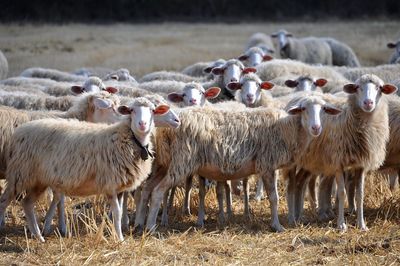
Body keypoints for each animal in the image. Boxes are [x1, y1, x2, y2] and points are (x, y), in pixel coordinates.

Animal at [0, 98, 170, 243]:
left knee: (27, 203)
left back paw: (38, 236)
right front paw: (120, 240)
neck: (130, 139)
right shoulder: (110, 184)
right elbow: (116, 213)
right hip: (20, 174)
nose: (142, 124)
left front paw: (119, 235)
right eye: (132, 110)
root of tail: (19, 132)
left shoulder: (120, 187)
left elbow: (121, 212)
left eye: (153, 111)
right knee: (4, 201)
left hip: (37, 179)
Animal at [136, 93, 342, 233]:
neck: (288, 128)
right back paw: (151, 227)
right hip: (181, 161)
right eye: (304, 109)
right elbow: (274, 197)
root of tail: (165, 129)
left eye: (324, 110)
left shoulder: (270, 166)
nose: (316, 128)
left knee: (147, 189)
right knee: (158, 191)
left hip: (163, 164)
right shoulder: (267, 164)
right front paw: (277, 225)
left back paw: (139, 223)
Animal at [290, 75, 396, 231]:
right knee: (293, 184)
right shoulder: (338, 162)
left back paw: (299, 216)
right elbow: (341, 193)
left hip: (310, 161)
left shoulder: (360, 165)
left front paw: (361, 224)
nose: (368, 103)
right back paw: (293, 216)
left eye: (379, 88)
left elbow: (360, 194)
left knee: (299, 182)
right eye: (357, 87)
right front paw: (341, 225)